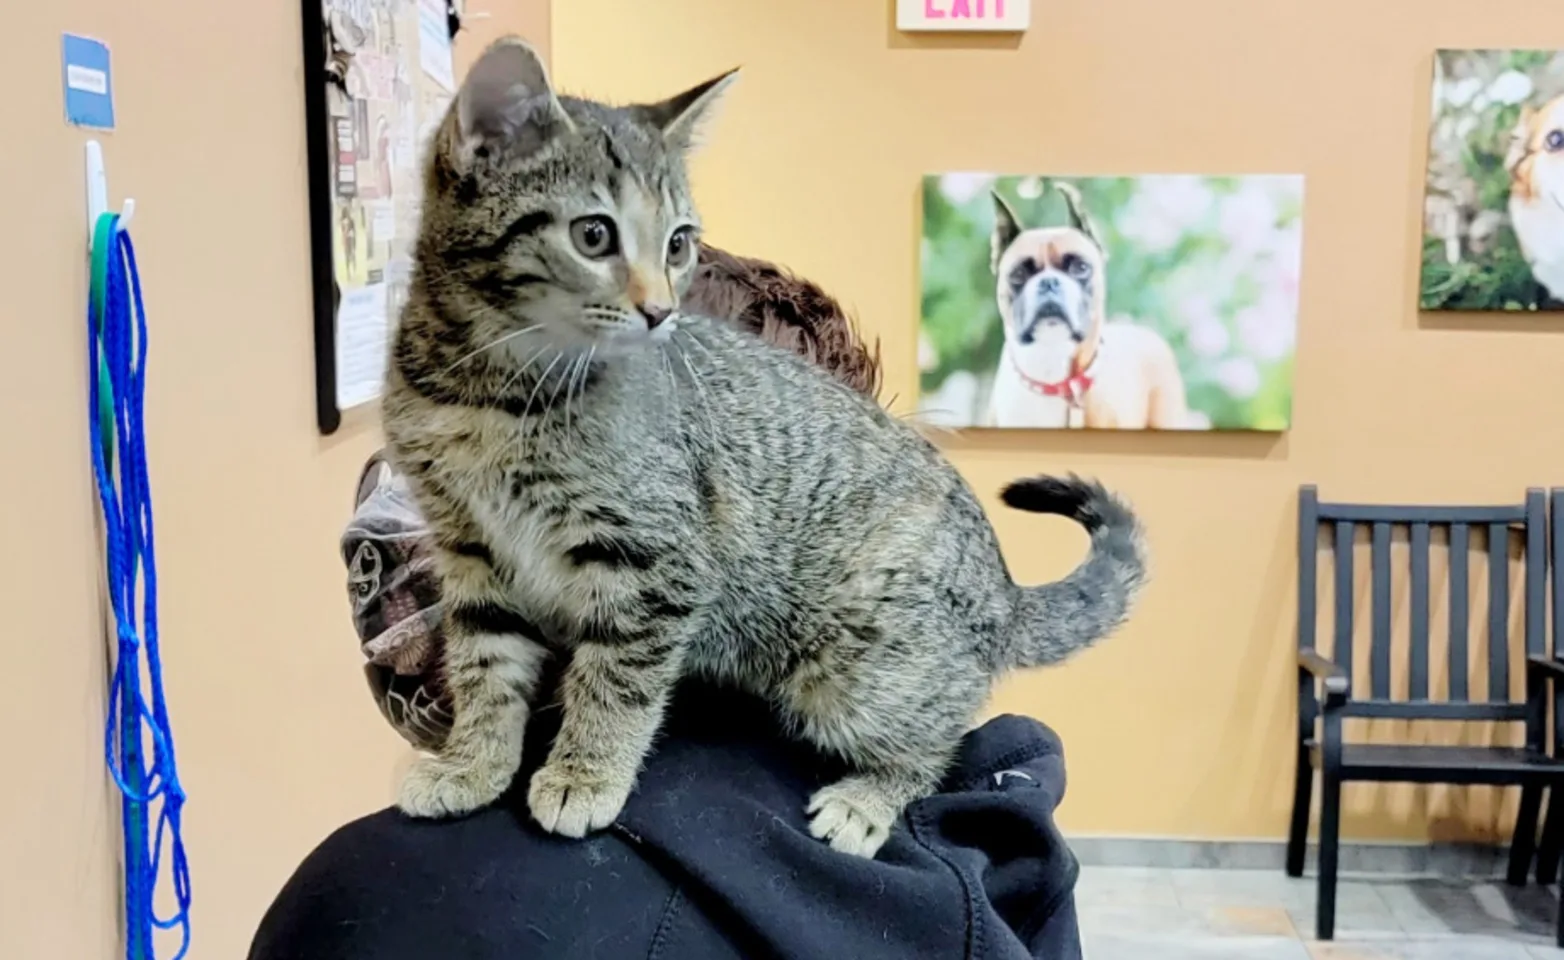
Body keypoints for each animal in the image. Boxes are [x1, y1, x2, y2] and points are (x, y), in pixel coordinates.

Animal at [384, 39, 1144, 863]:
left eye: (678, 243)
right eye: (593, 235)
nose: (662, 311)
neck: (485, 393)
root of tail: (1004, 592)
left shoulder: (658, 562)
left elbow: (617, 679)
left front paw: (585, 773)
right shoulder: (471, 549)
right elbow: (484, 665)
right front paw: (473, 764)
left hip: (861, 667)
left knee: (938, 743)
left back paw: (869, 798)